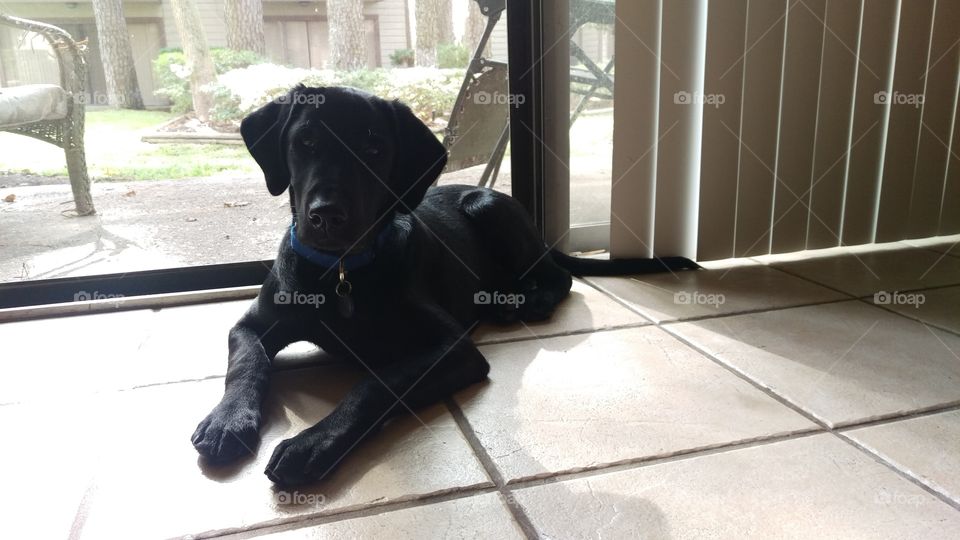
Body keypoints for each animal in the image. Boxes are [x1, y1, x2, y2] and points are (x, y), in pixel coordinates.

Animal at [191, 85, 696, 486]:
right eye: (305, 141)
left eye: (374, 147)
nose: (327, 216)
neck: (341, 272)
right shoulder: (253, 324)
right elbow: (247, 362)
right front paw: (227, 421)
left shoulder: (453, 347)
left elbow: (377, 384)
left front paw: (312, 444)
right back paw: (502, 303)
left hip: (487, 207)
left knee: (561, 276)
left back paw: (529, 302)